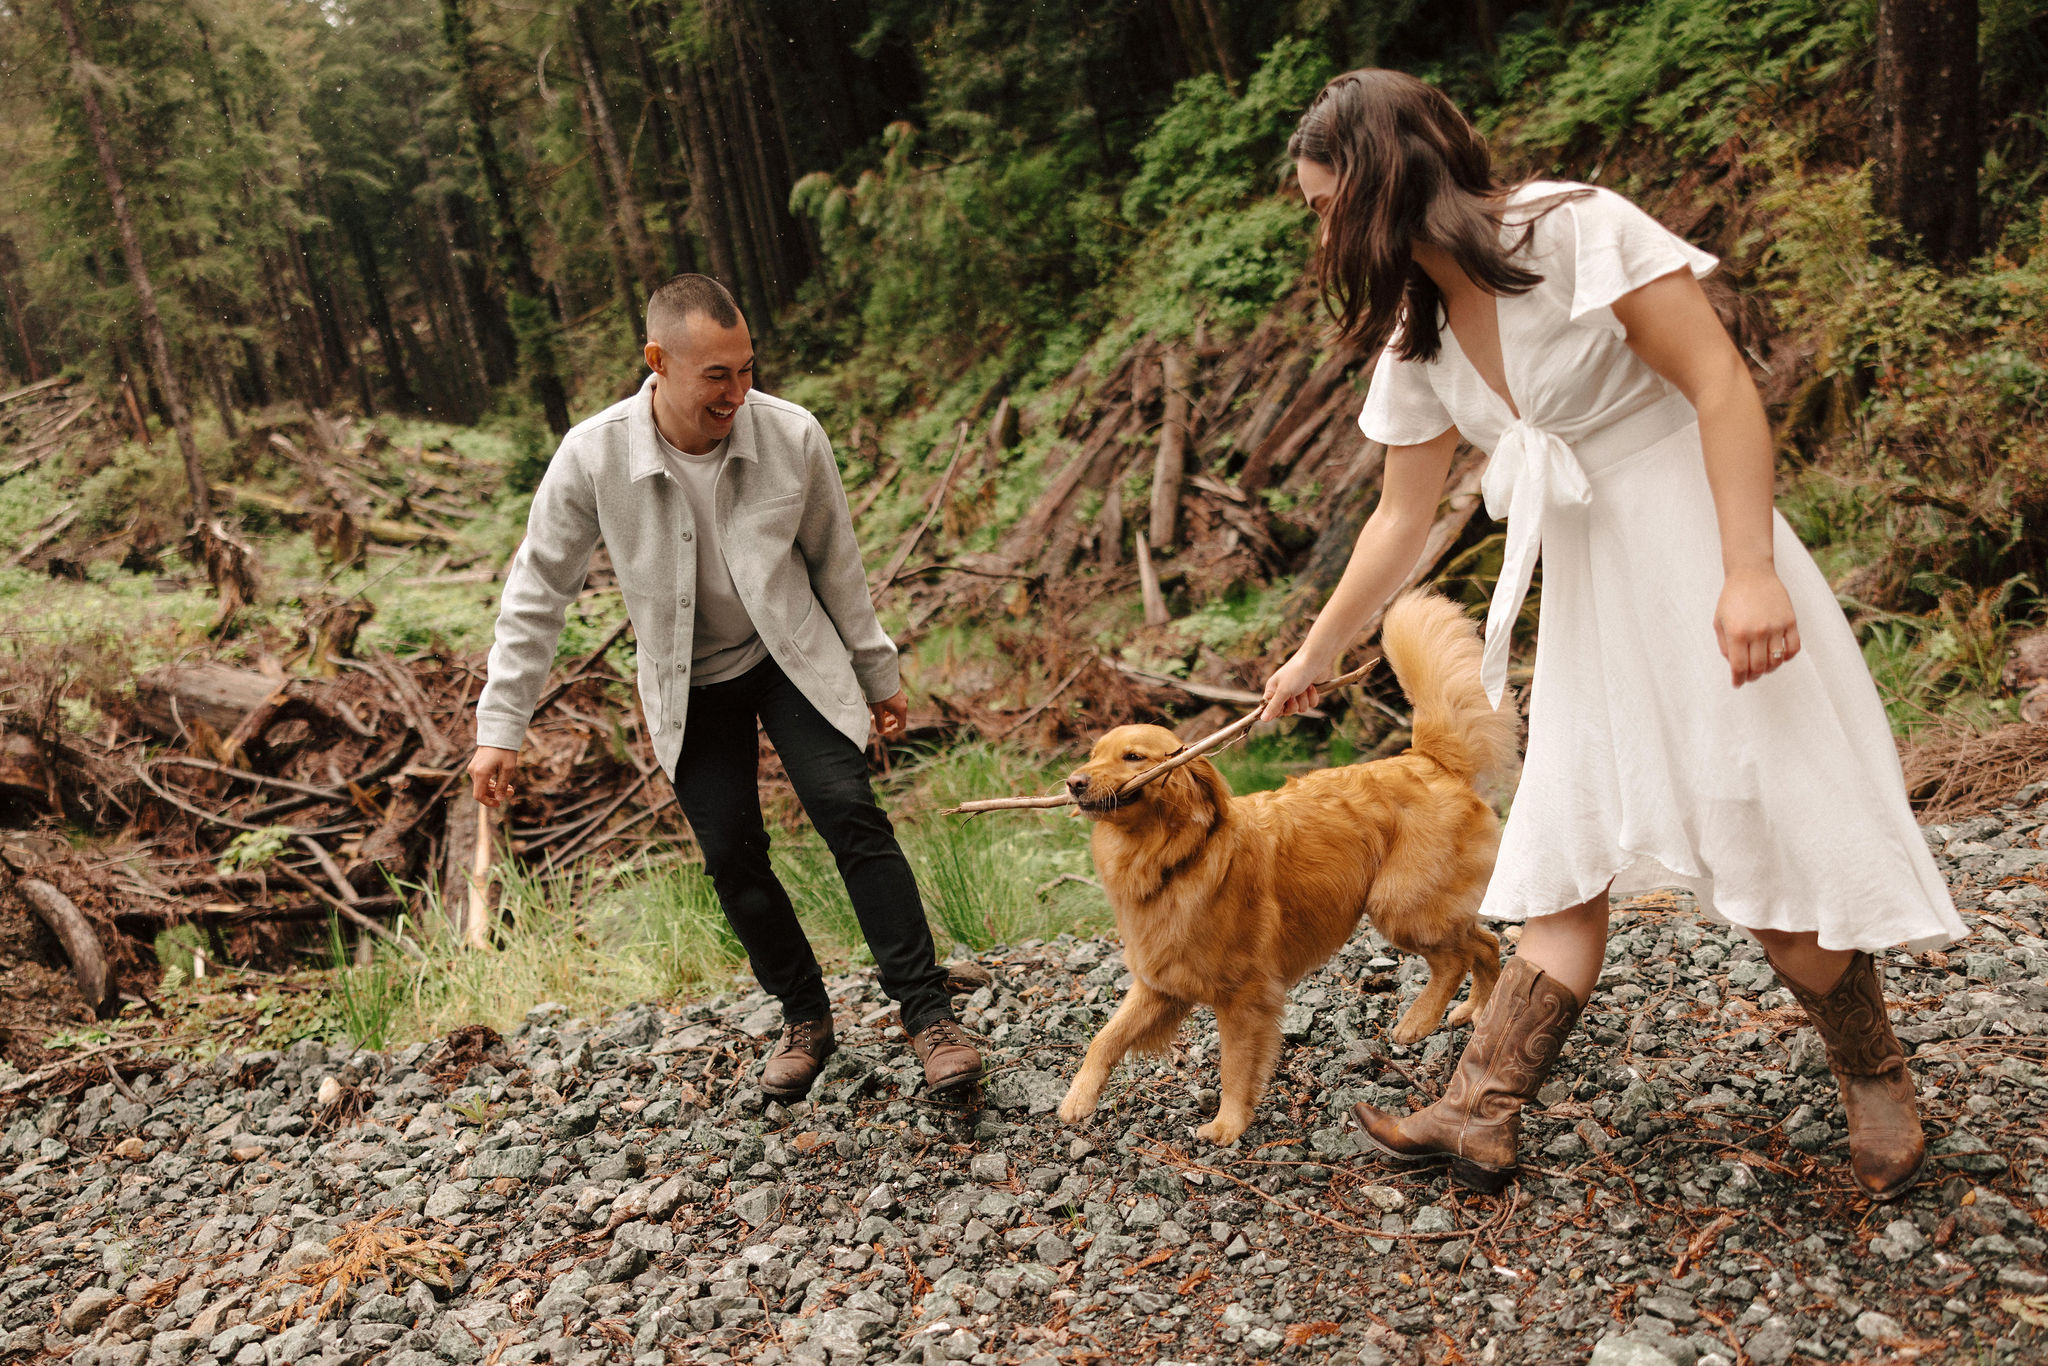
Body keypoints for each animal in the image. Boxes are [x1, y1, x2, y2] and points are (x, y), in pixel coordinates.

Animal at [1056, 593, 1523, 1146]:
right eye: (1093, 755)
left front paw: (1228, 1124)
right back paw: (1477, 1011)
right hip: (1425, 906)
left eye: (1132, 757)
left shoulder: (1244, 996)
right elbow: (1103, 1038)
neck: (1175, 858)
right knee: (1485, 944)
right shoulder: (1159, 984)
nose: (1073, 782)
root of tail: (1427, 758)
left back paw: (1418, 1021)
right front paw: (1078, 1099)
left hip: (1400, 904)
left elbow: (1235, 1066)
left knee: (1456, 957)